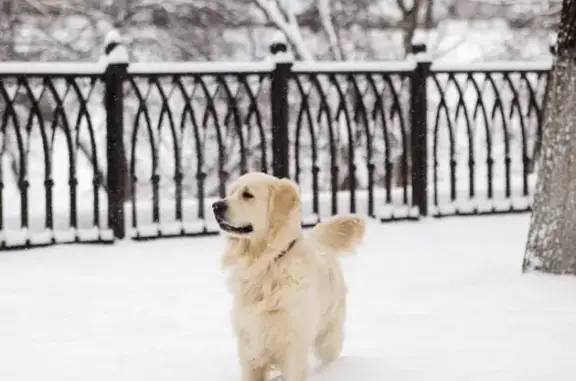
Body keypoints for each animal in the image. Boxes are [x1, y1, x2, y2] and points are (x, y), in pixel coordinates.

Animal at [212, 172, 364, 380]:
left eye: (247, 195)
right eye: (231, 192)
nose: (215, 206)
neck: (267, 263)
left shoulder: (293, 345)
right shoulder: (249, 345)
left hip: (328, 337)